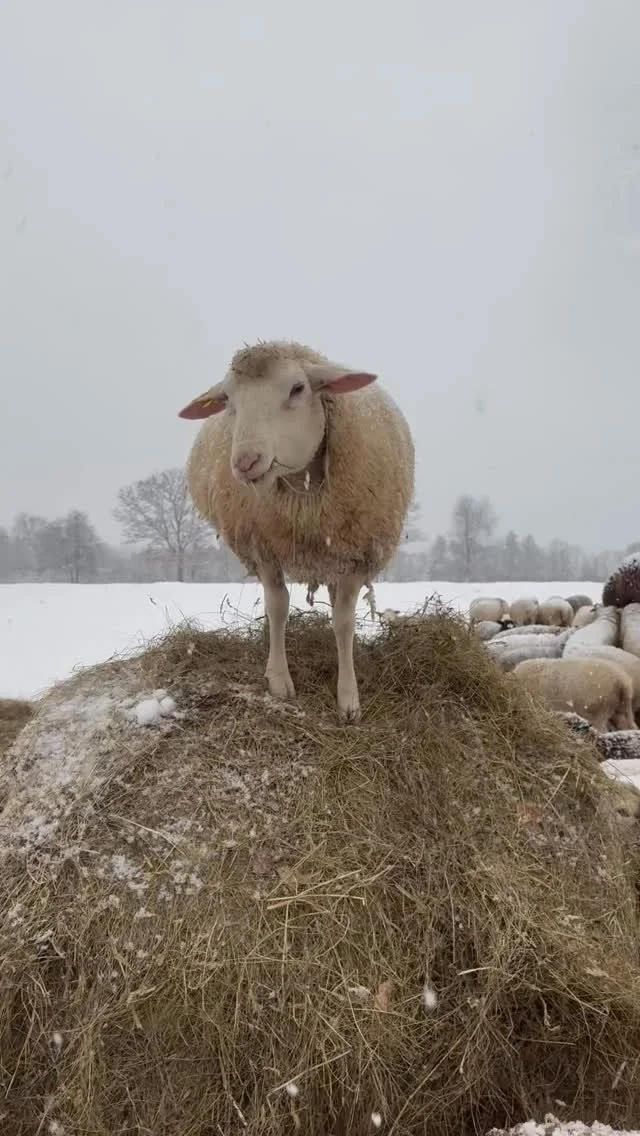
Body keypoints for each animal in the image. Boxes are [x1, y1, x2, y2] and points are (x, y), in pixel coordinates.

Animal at [179, 339, 414, 721]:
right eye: (227, 399)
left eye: (298, 388)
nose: (245, 462)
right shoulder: (265, 548)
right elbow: (278, 608)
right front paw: (279, 681)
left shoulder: (355, 555)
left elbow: (344, 622)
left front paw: (348, 699)